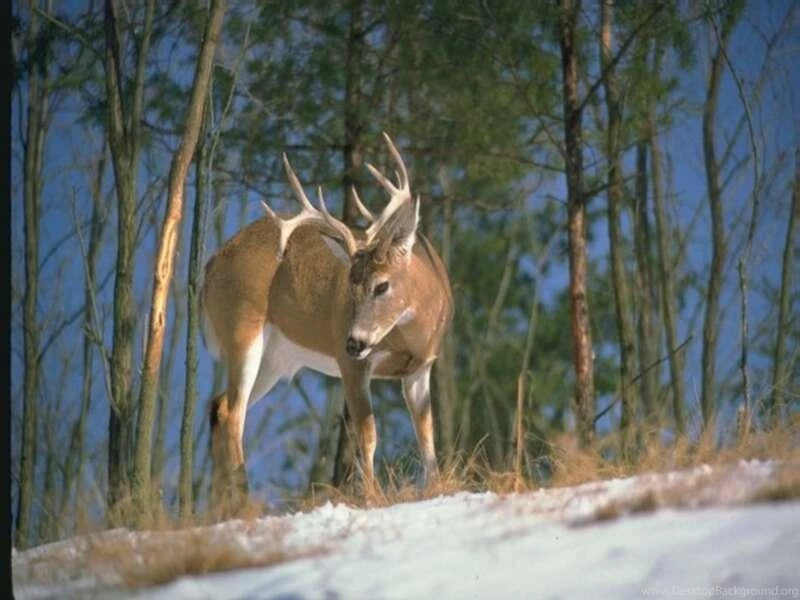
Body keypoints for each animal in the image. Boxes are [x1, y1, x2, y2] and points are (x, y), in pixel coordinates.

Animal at [201, 133, 453, 505]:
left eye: (382, 285)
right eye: (350, 283)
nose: (355, 341)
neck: (410, 335)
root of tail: (210, 265)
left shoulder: (422, 367)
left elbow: (426, 433)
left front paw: (434, 489)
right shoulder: (352, 365)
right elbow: (367, 433)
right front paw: (371, 496)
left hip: (274, 361)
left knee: (220, 407)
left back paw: (220, 507)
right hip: (241, 329)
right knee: (234, 414)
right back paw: (246, 506)